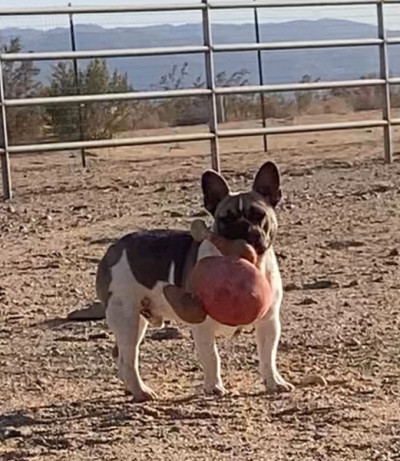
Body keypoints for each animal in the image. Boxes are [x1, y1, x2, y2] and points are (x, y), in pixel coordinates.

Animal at [95, 161, 292, 398]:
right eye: (225, 219)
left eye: (258, 215)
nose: (243, 228)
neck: (247, 261)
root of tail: (113, 250)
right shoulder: (203, 325)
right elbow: (211, 357)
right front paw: (214, 386)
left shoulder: (268, 322)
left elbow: (267, 355)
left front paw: (274, 382)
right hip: (126, 318)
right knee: (130, 358)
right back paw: (141, 391)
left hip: (136, 320)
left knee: (123, 357)